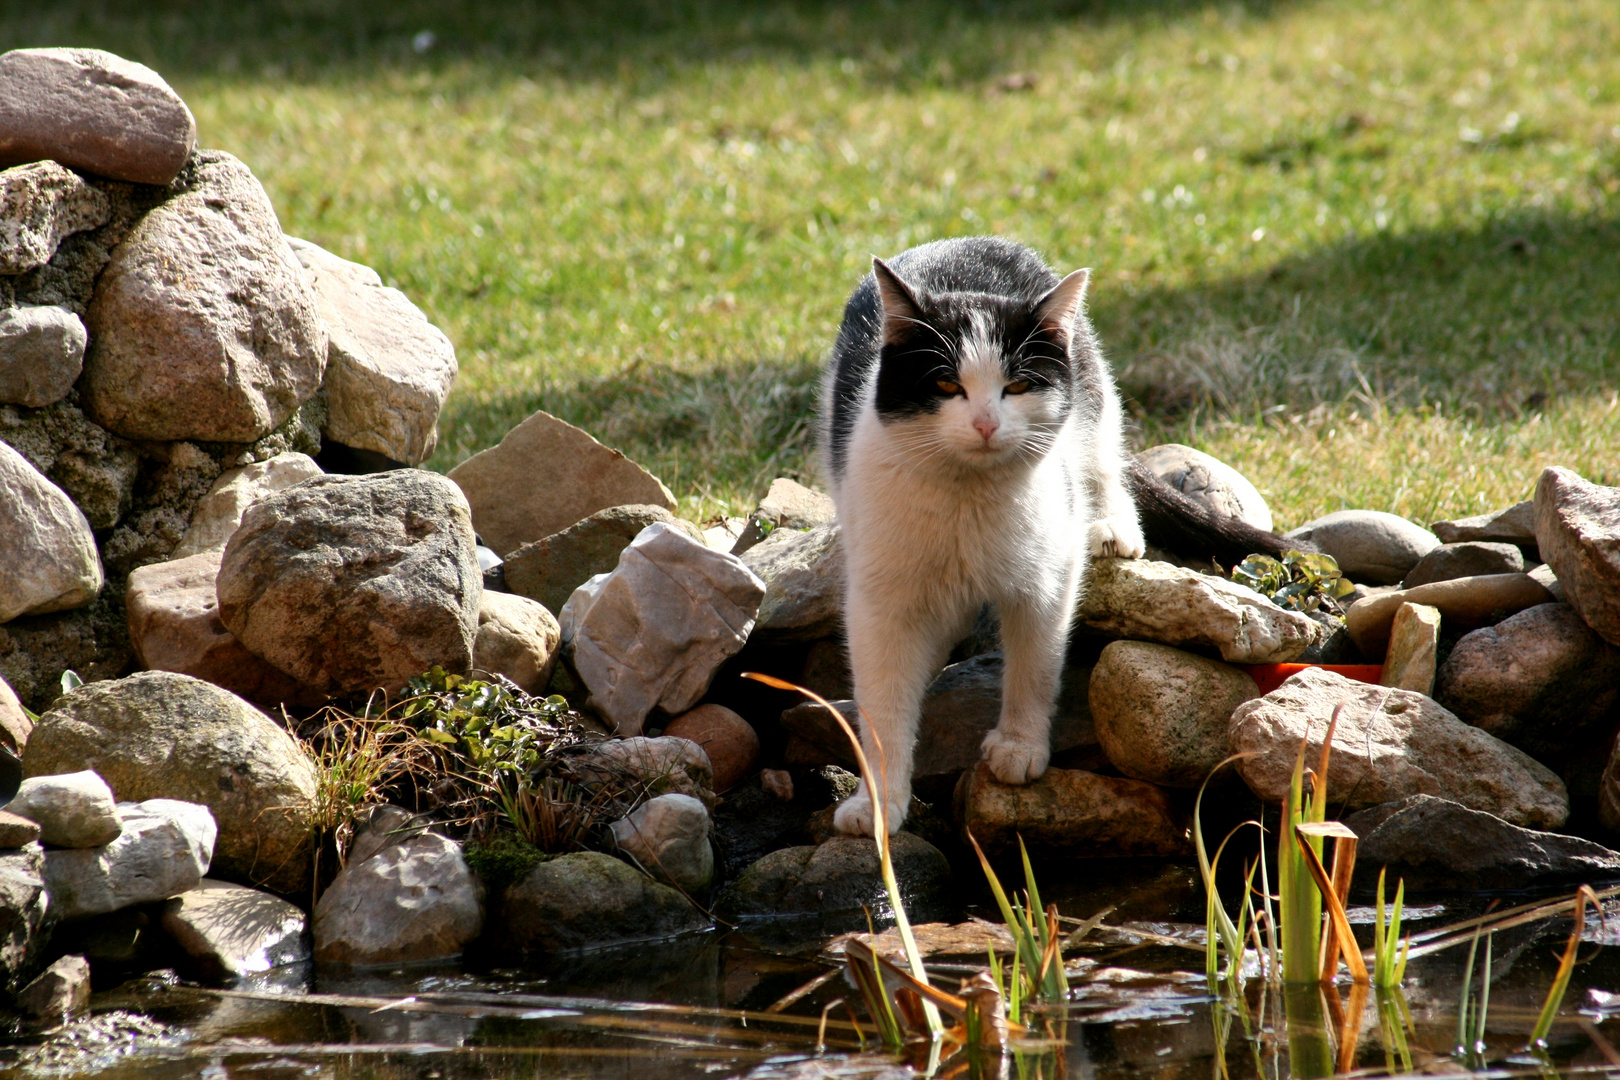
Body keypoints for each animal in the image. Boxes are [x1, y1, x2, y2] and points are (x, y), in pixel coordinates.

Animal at [822, 241, 1289, 841]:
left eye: (1017, 386)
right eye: (947, 385)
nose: (985, 423)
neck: (968, 498)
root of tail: (966, 239)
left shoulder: (1046, 578)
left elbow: (1035, 663)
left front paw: (1019, 748)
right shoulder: (880, 597)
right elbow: (883, 703)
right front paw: (878, 803)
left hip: (1090, 397)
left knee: (1101, 458)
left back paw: (1111, 526)